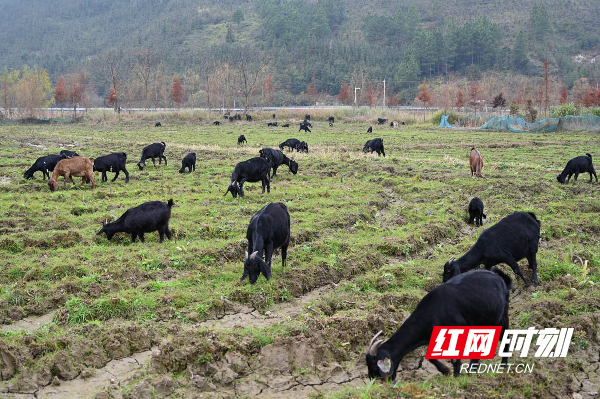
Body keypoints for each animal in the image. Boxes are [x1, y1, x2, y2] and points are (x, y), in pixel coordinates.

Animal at [366, 268, 510, 382]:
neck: (432, 312)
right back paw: (472, 369)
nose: (376, 380)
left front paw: (456, 376)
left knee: (506, 339)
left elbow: (455, 357)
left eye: (374, 365)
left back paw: (502, 366)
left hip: (501, 318)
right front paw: (446, 371)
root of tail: (499, 277)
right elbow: (431, 356)